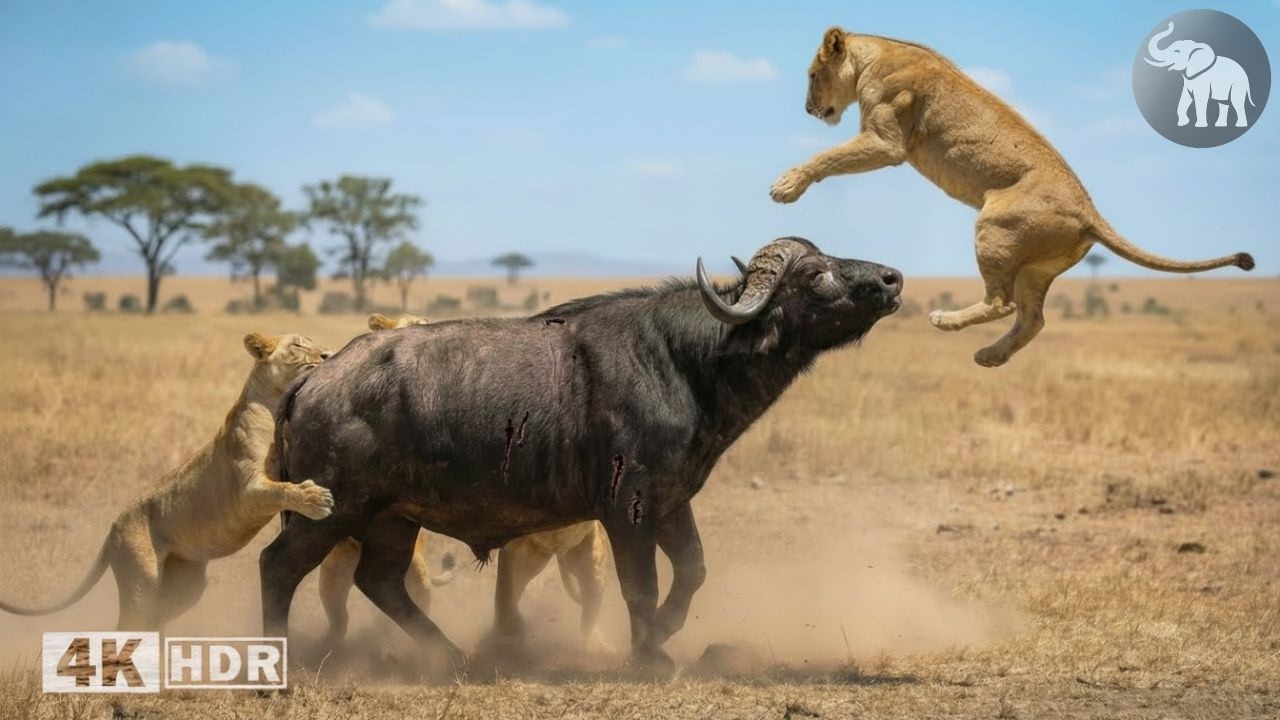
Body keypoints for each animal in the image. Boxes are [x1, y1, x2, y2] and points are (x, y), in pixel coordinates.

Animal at [0, 333, 334, 630]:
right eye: (299, 345)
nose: (328, 354)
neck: (272, 399)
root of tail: (112, 528)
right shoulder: (248, 489)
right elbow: (282, 489)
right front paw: (315, 499)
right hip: (141, 578)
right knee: (129, 625)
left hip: (186, 587)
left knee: (153, 622)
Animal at [771, 27, 1255, 367]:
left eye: (813, 76)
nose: (808, 109)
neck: (873, 56)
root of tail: (1091, 212)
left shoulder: (886, 141)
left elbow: (827, 157)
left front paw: (786, 186)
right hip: (1037, 266)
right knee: (1032, 318)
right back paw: (991, 356)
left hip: (994, 226)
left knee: (1001, 302)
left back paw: (947, 321)